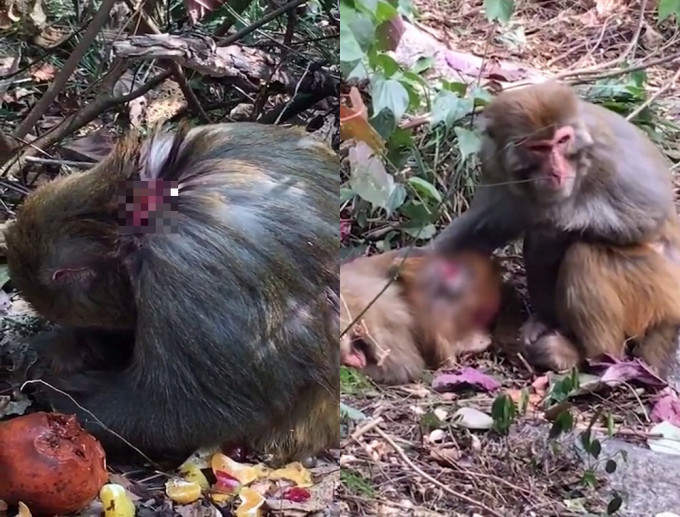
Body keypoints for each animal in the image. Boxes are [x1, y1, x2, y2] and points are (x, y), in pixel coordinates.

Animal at [432, 80, 680, 376]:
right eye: (538, 148)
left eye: (562, 141)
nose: (557, 170)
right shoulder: (495, 167)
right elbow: (480, 230)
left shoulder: (608, 154)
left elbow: (650, 211)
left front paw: (552, 216)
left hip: (659, 287)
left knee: (580, 252)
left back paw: (593, 357)